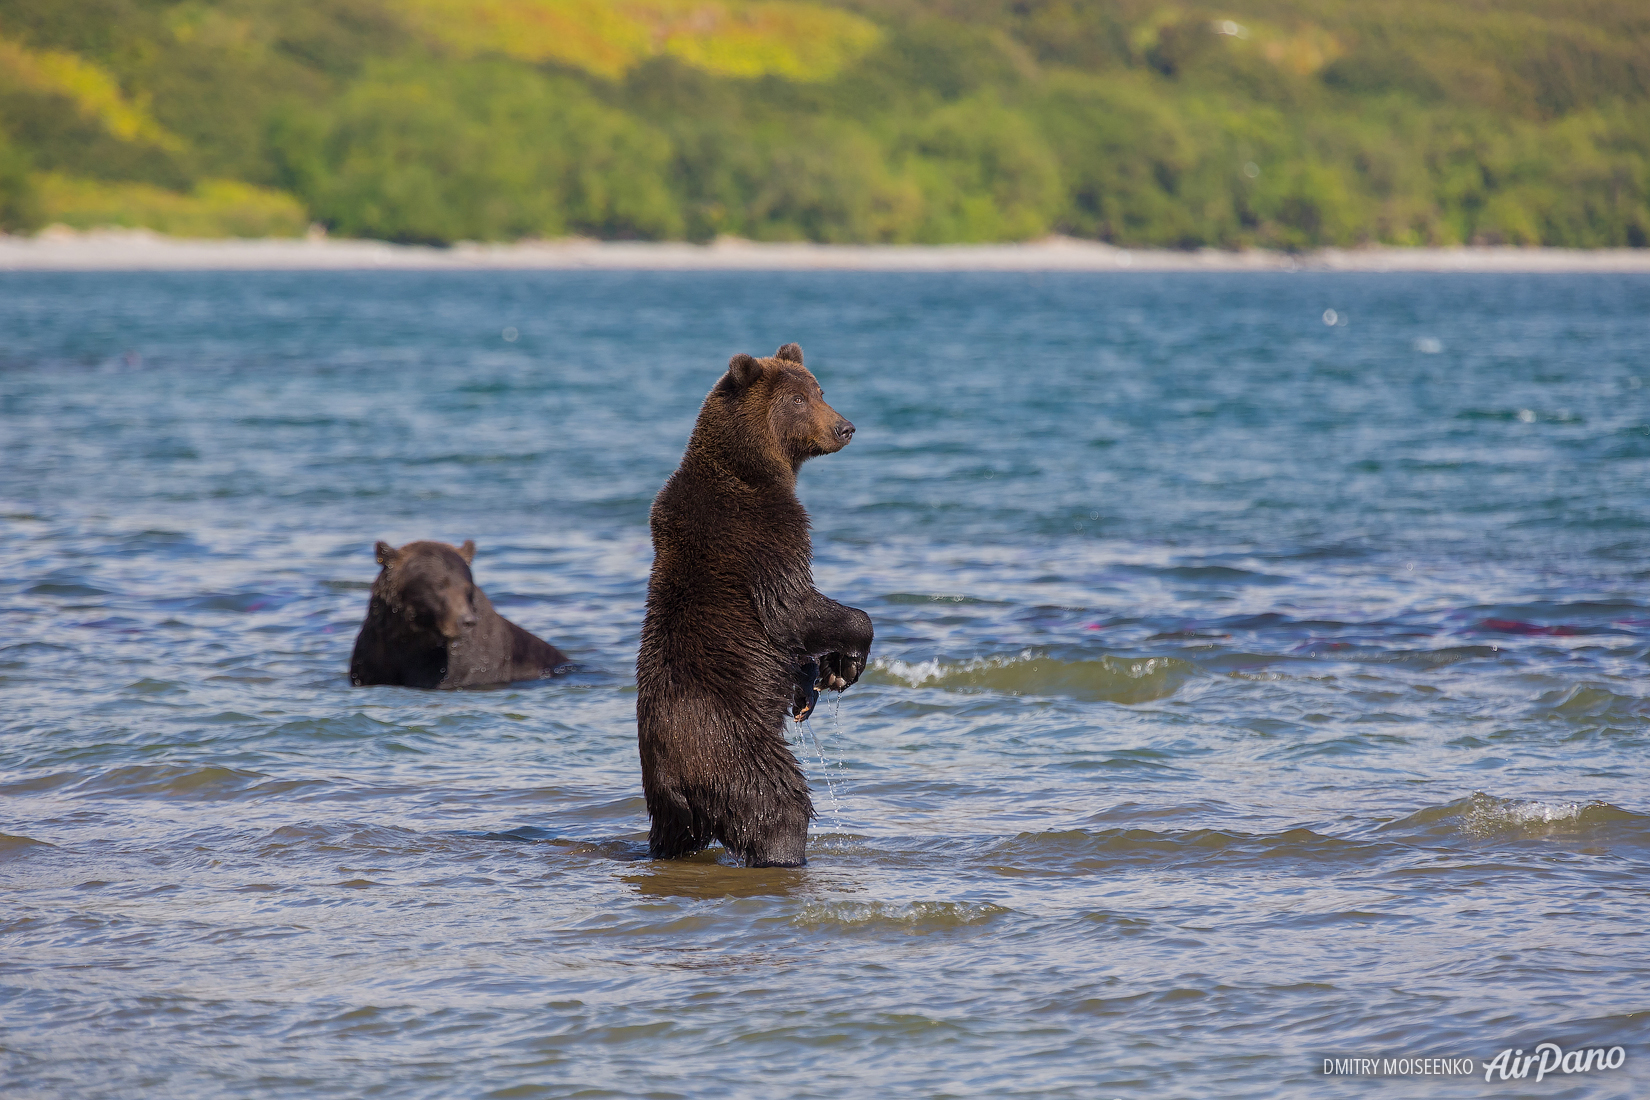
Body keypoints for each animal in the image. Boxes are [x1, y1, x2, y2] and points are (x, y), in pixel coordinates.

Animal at [633, 339, 877, 864]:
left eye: (820, 390)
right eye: (798, 400)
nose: (845, 427)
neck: (752, 468)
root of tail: (675, 777)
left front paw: (818, 680)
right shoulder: (760, 532)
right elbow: (792, 606)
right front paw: (848, 659)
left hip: (664, 803)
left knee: (672, 836)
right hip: (735, 750)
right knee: (777, 805)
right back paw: (787, 852)